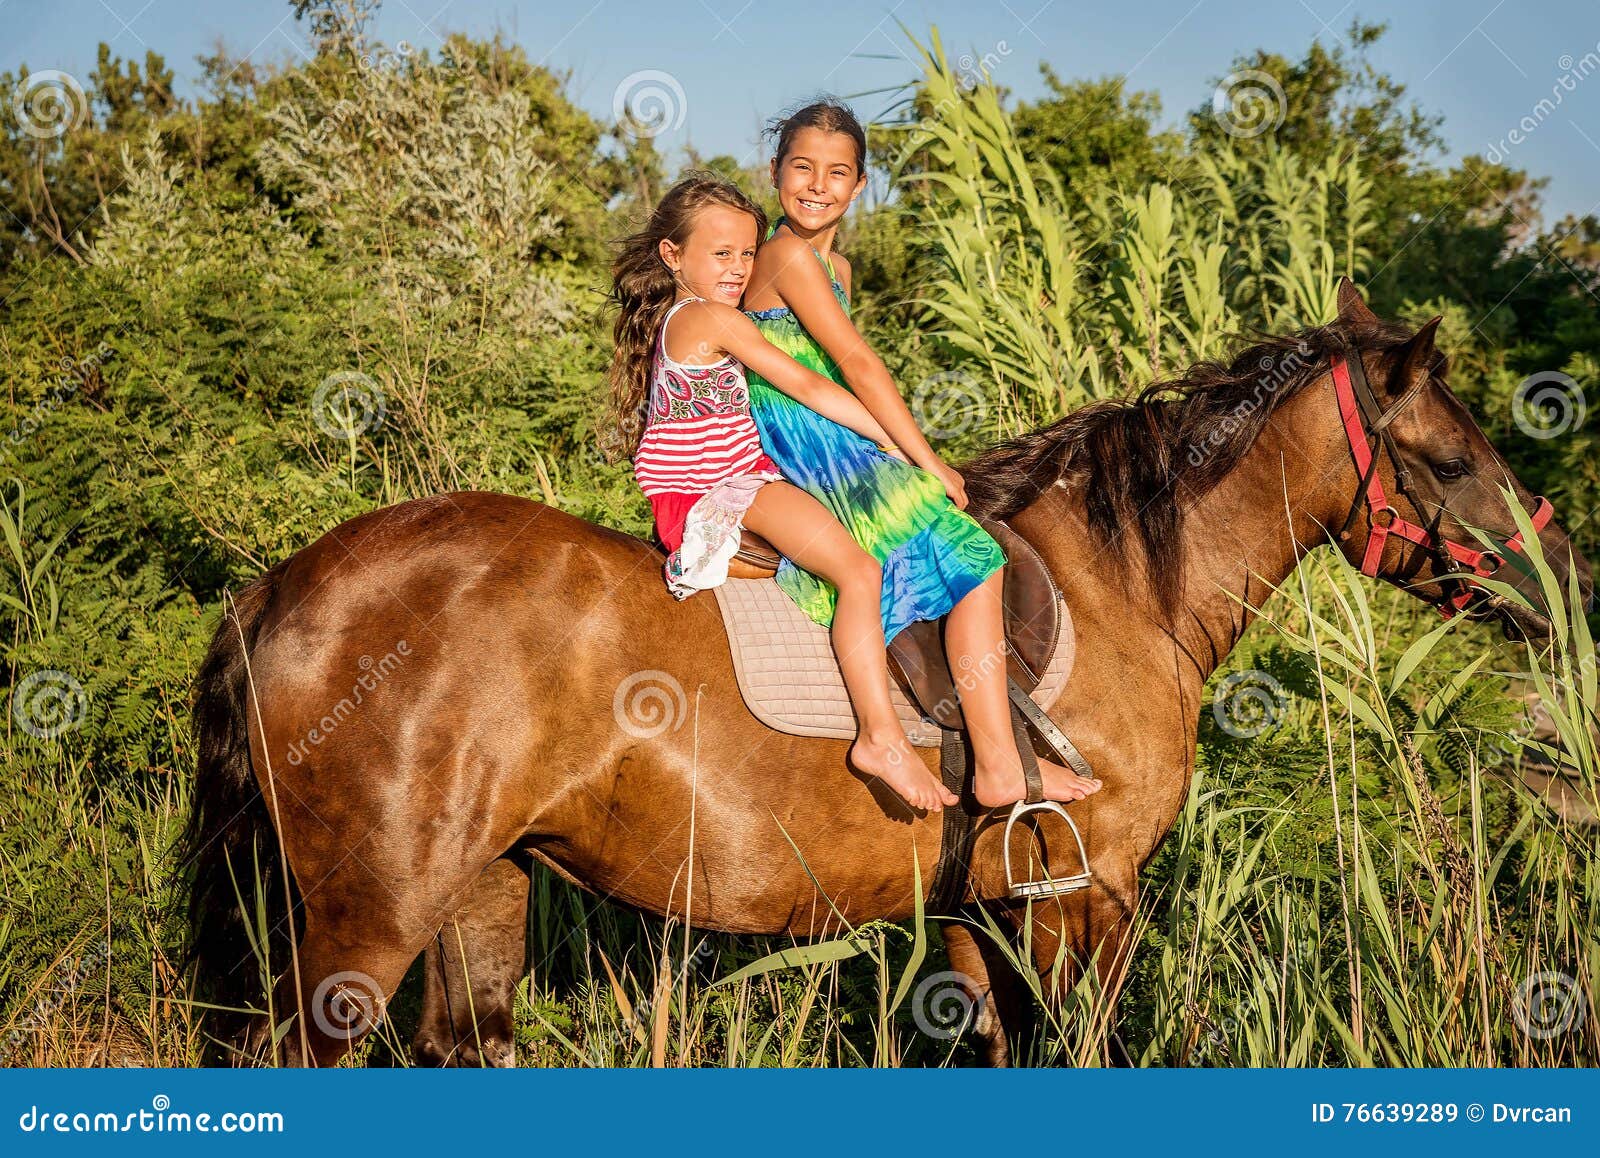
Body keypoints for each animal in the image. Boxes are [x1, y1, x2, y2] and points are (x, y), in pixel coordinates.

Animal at [178, 283, 1587, 1068]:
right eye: (1452, 462)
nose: (1565, 584)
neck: (1123, 589)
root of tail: (283, 588)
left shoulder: (980, 911)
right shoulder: (1088, 902)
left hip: (480, 889)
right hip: (365, 925)